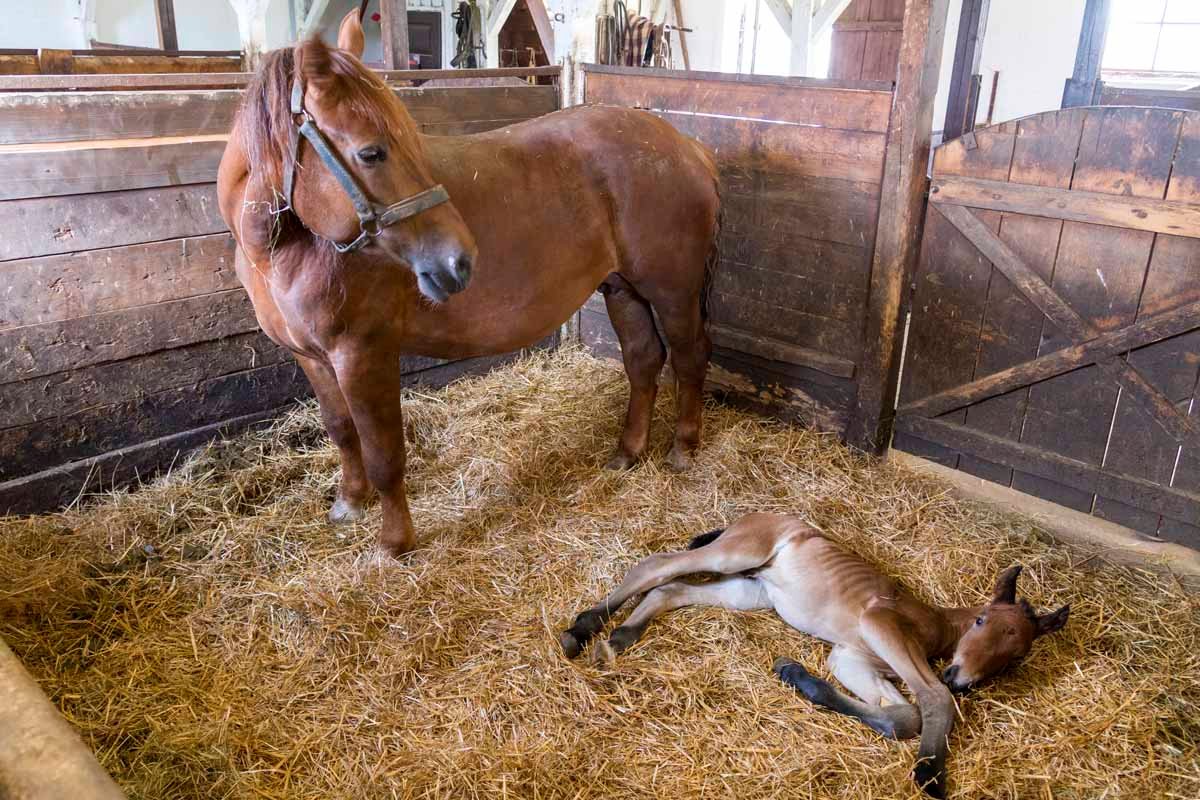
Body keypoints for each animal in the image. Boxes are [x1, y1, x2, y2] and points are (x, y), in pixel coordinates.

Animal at [217, 12, 720, 554]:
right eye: (371, 153)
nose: (459, 260)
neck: (287, 251)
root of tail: (687, 147)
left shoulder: (364, 354)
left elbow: (384, 453)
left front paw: (394, 542)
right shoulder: (311, 357)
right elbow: (341, 431)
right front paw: (349, 503)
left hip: (672, 292)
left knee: (689, 358)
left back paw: (683, 448)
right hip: (623, 288)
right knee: (644, 361)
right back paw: (628, 452)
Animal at [559, 515, 1070, 796]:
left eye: (1017, 656)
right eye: (982, 621)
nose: (962, 678)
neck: (937, 626)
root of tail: (755, 516)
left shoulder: (852, 659)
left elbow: (903, 715)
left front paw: (795, 676)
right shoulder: (880, 625)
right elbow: (931, 700)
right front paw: (930, 772)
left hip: (753, 591)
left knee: (671, 588)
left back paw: (618, 636)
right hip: (738, 554)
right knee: (658, 565)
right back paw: (581, 629)